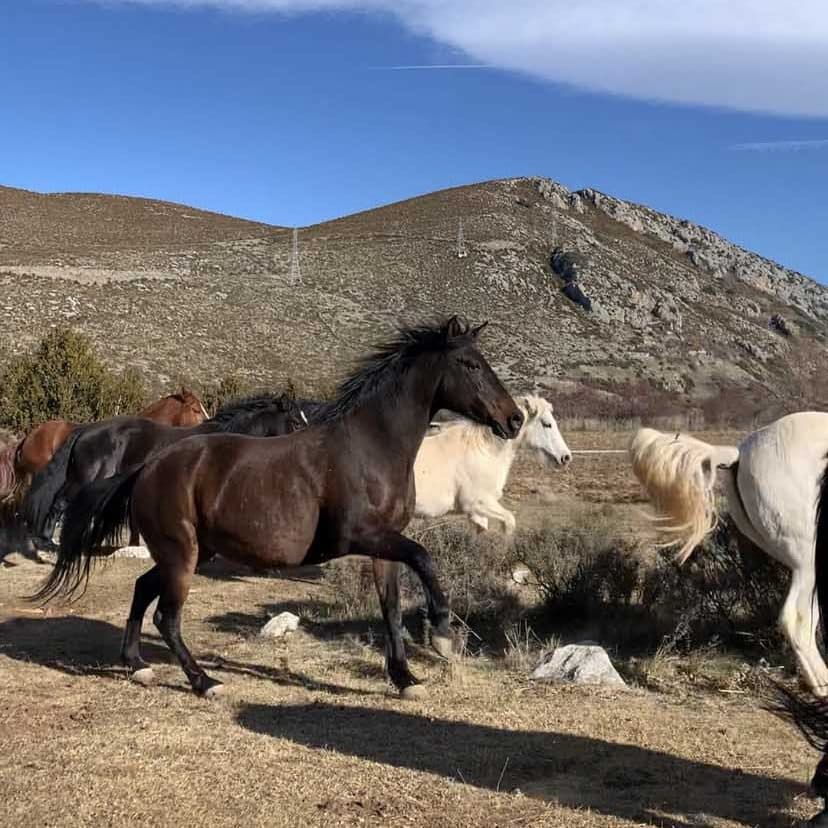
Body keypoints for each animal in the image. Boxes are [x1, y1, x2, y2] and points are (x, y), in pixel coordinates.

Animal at [414, 394, 571, 533]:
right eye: (547, 424)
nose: (566, 457)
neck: (484, 451)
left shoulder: (478, 514)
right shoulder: (478, 503)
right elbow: (509, 522)